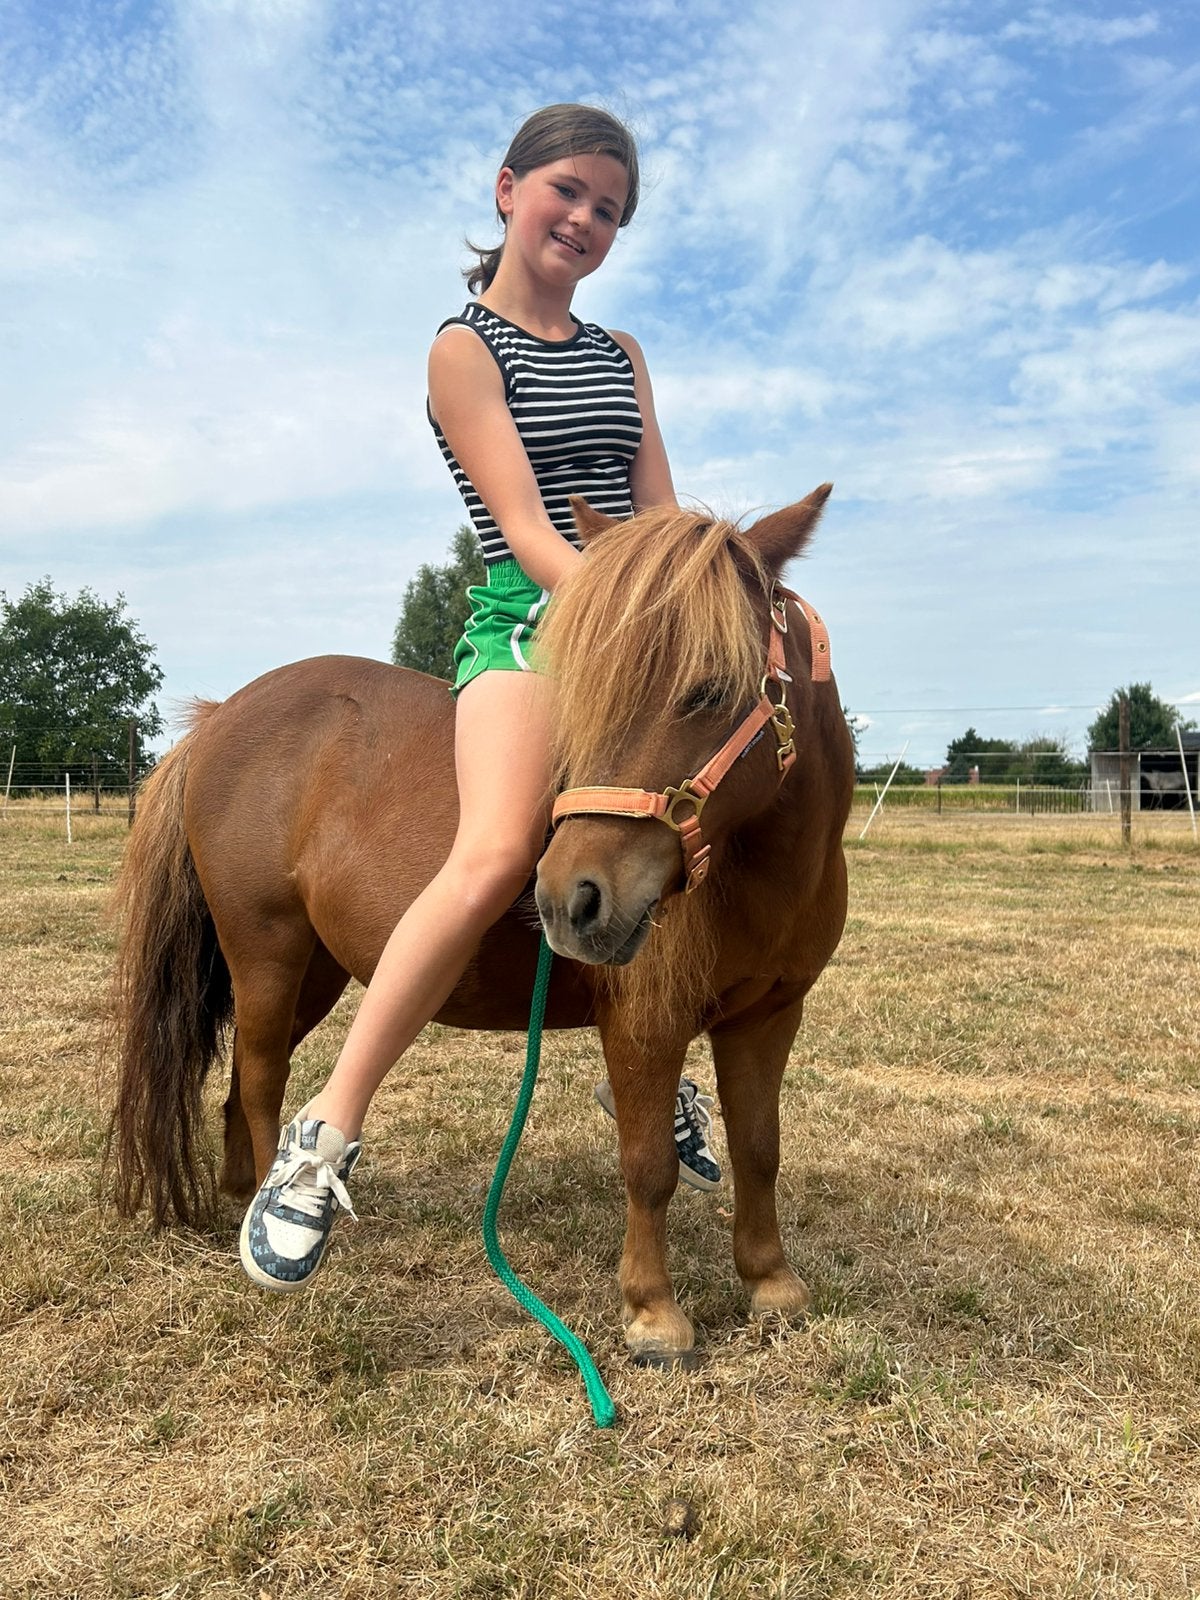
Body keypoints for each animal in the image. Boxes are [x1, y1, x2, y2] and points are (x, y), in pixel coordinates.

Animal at [111, 486, 854, 1363]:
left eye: (708, 690)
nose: (571, 899)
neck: (753, 872)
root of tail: (218, 718)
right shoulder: (645, 1024)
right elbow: (647, 1166)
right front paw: (652, 1312)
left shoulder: (769, 1016)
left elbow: (760, 1148)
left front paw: (771, 1281)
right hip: (267, 951)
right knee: (260, 1080)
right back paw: (282, 1217)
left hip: (315, 971)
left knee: (245, 1081)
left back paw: (241, 1196)